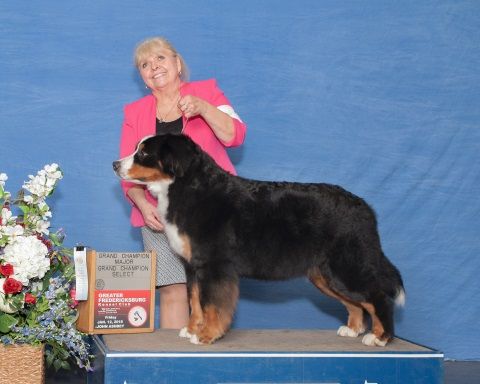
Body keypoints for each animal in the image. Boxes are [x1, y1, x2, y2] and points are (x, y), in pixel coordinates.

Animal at [113, 134, 404, 346]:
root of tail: (365, 208)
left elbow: (211, 303)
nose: (115, 164)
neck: (187, 188)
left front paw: (207, 334)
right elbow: (194, 300)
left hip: (346, 265)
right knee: (356, 303)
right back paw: (352, 329)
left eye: (144, 153)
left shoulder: (214, 264)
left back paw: (380, 337)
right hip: (325, 274)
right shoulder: (193, 265)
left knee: (377, 296)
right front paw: (191, 329)